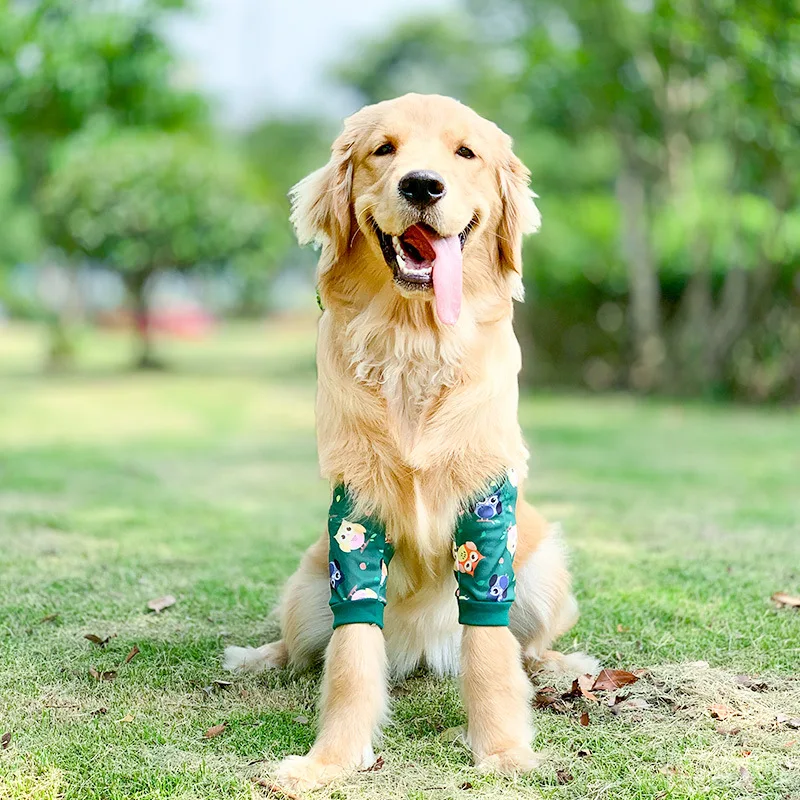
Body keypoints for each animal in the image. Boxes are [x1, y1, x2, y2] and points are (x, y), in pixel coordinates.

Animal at [223, 92, 592, 788]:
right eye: (383, 150)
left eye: (465, 152)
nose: (422, 185)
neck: (415, 340)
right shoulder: (355, 513)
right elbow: (350, 655)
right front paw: (331, 760)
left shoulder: (486, 506)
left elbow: (489, 648)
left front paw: (503, 750)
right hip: (305, 590)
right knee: (303, 648)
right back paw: (257, 657)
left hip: (543, 573)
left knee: (524, 644)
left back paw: (560, 665)